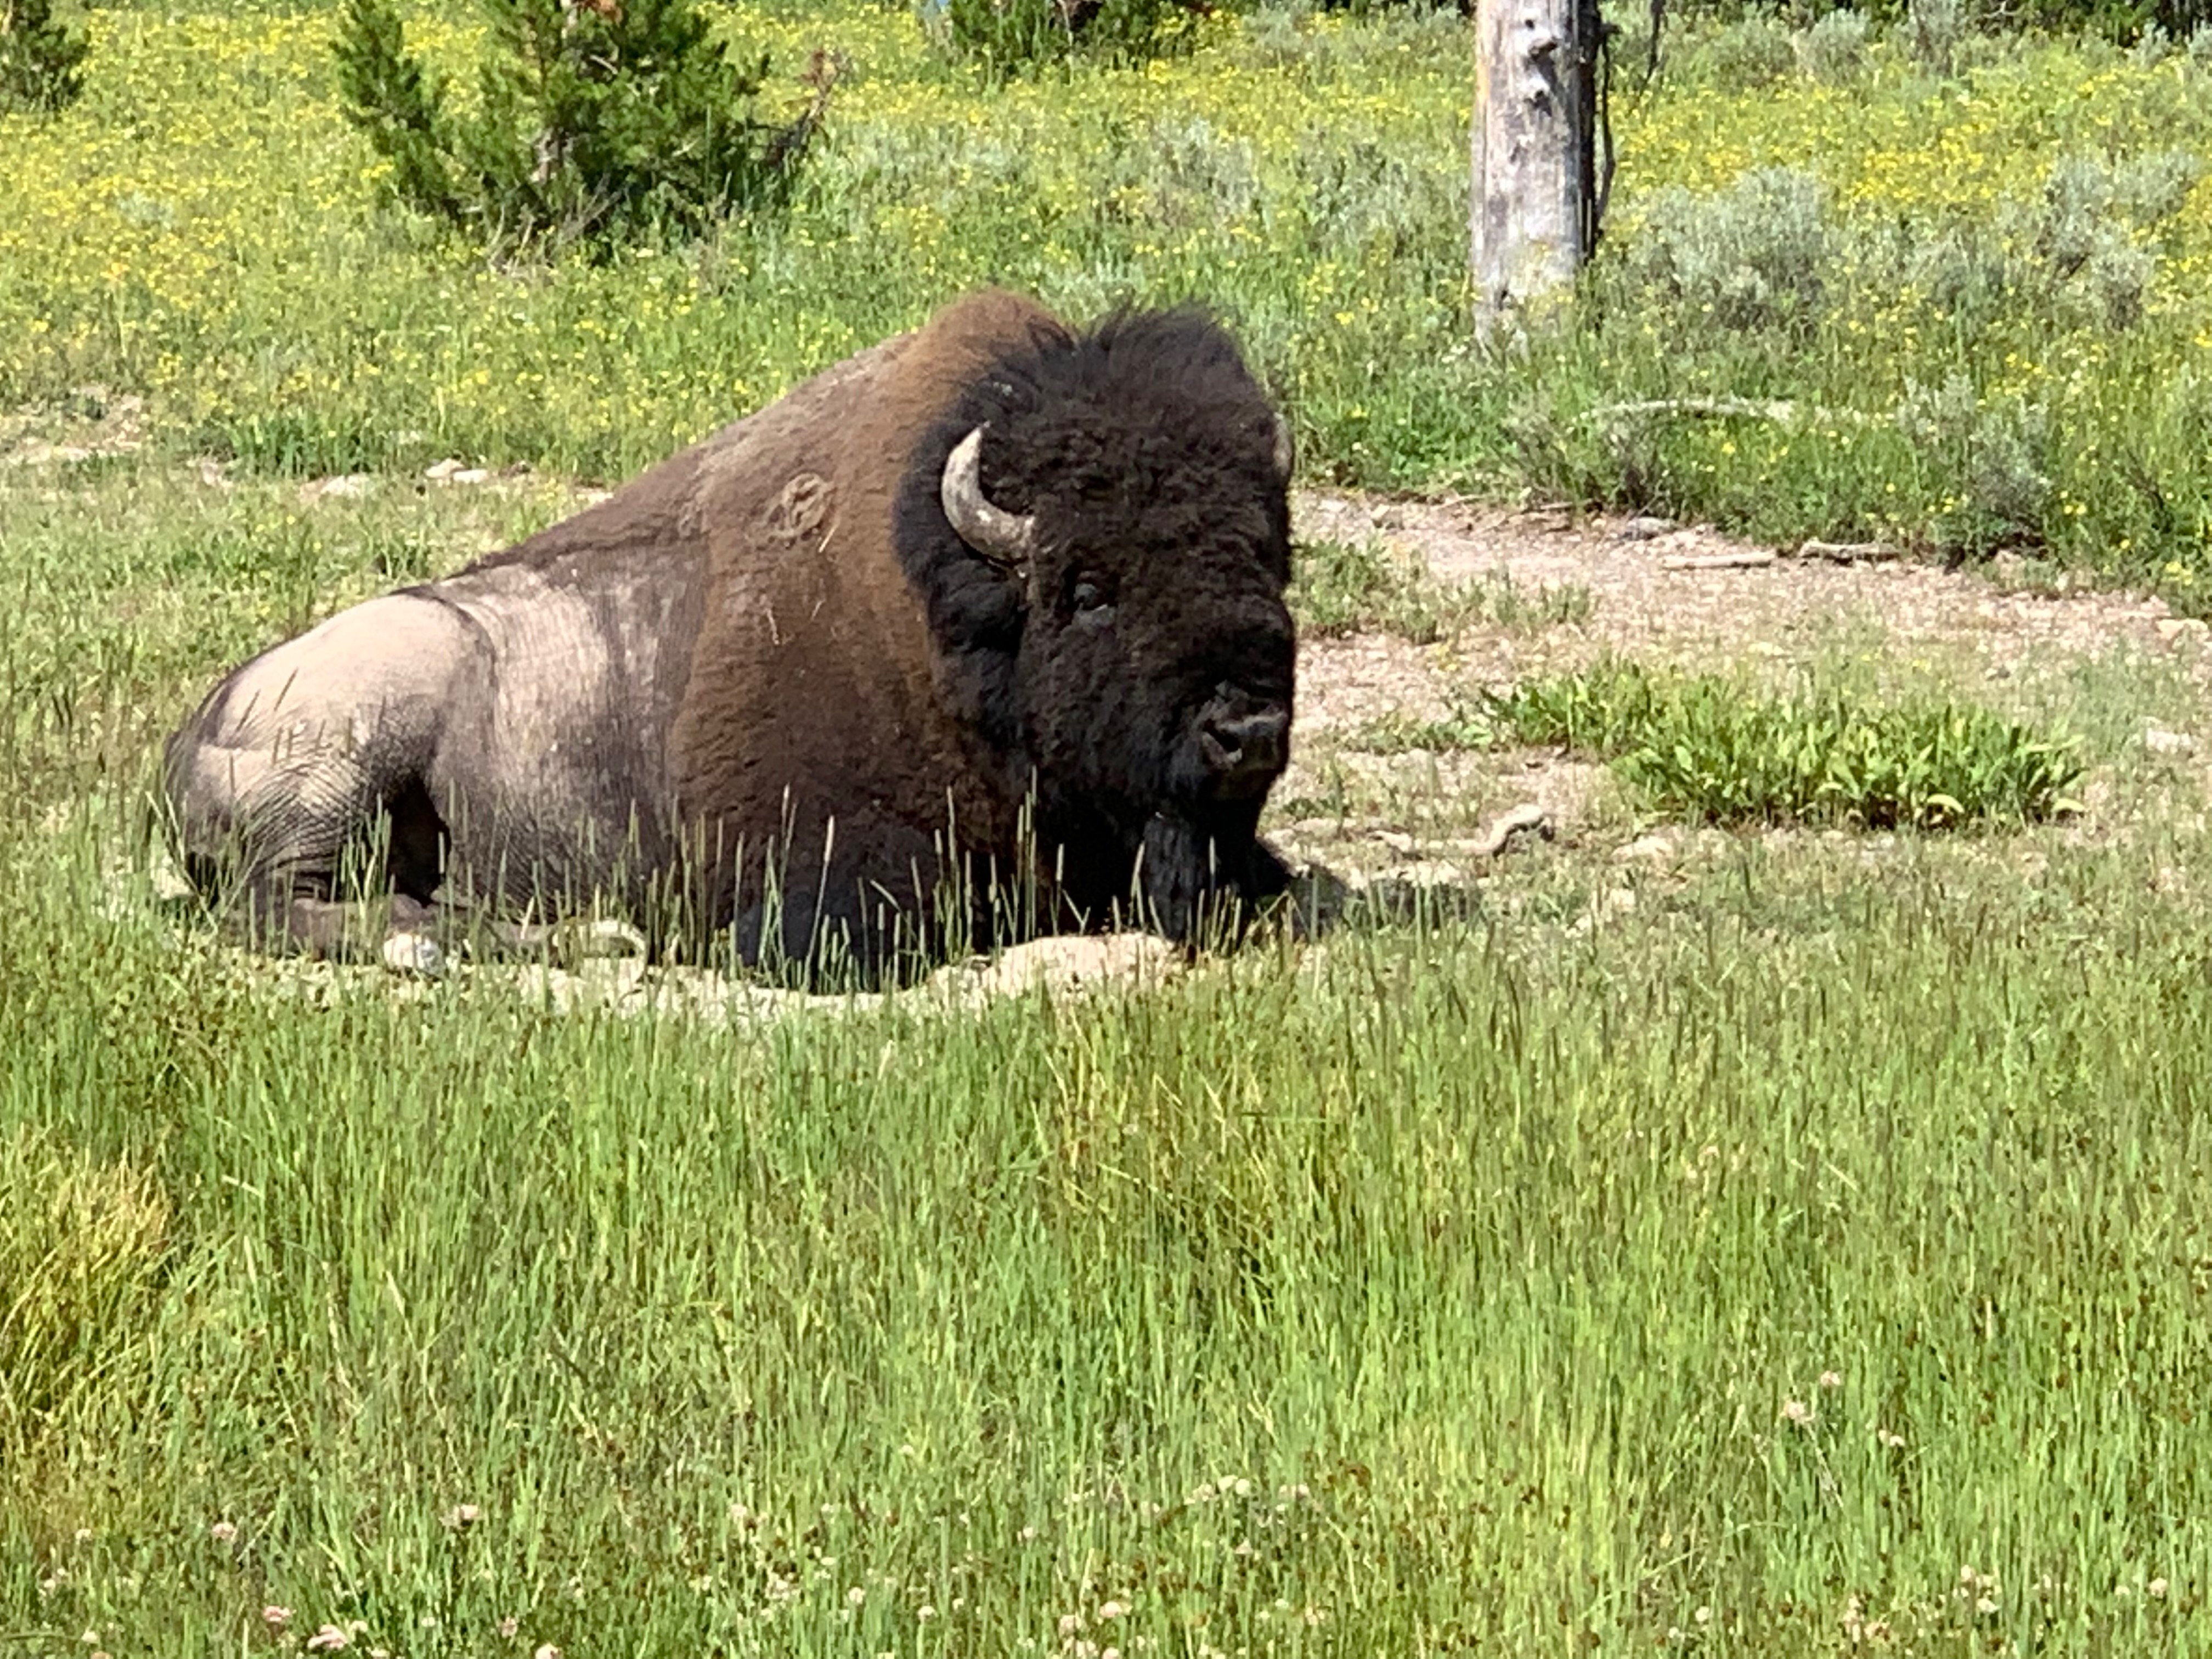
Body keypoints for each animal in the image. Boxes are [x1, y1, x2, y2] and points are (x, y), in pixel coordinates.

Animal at [172, 290, 1300, 982]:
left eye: (1267, 557)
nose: (1245, 730)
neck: (947, 626)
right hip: (354, 745)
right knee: (284, 904)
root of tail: (196, 725)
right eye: (1089, 585)